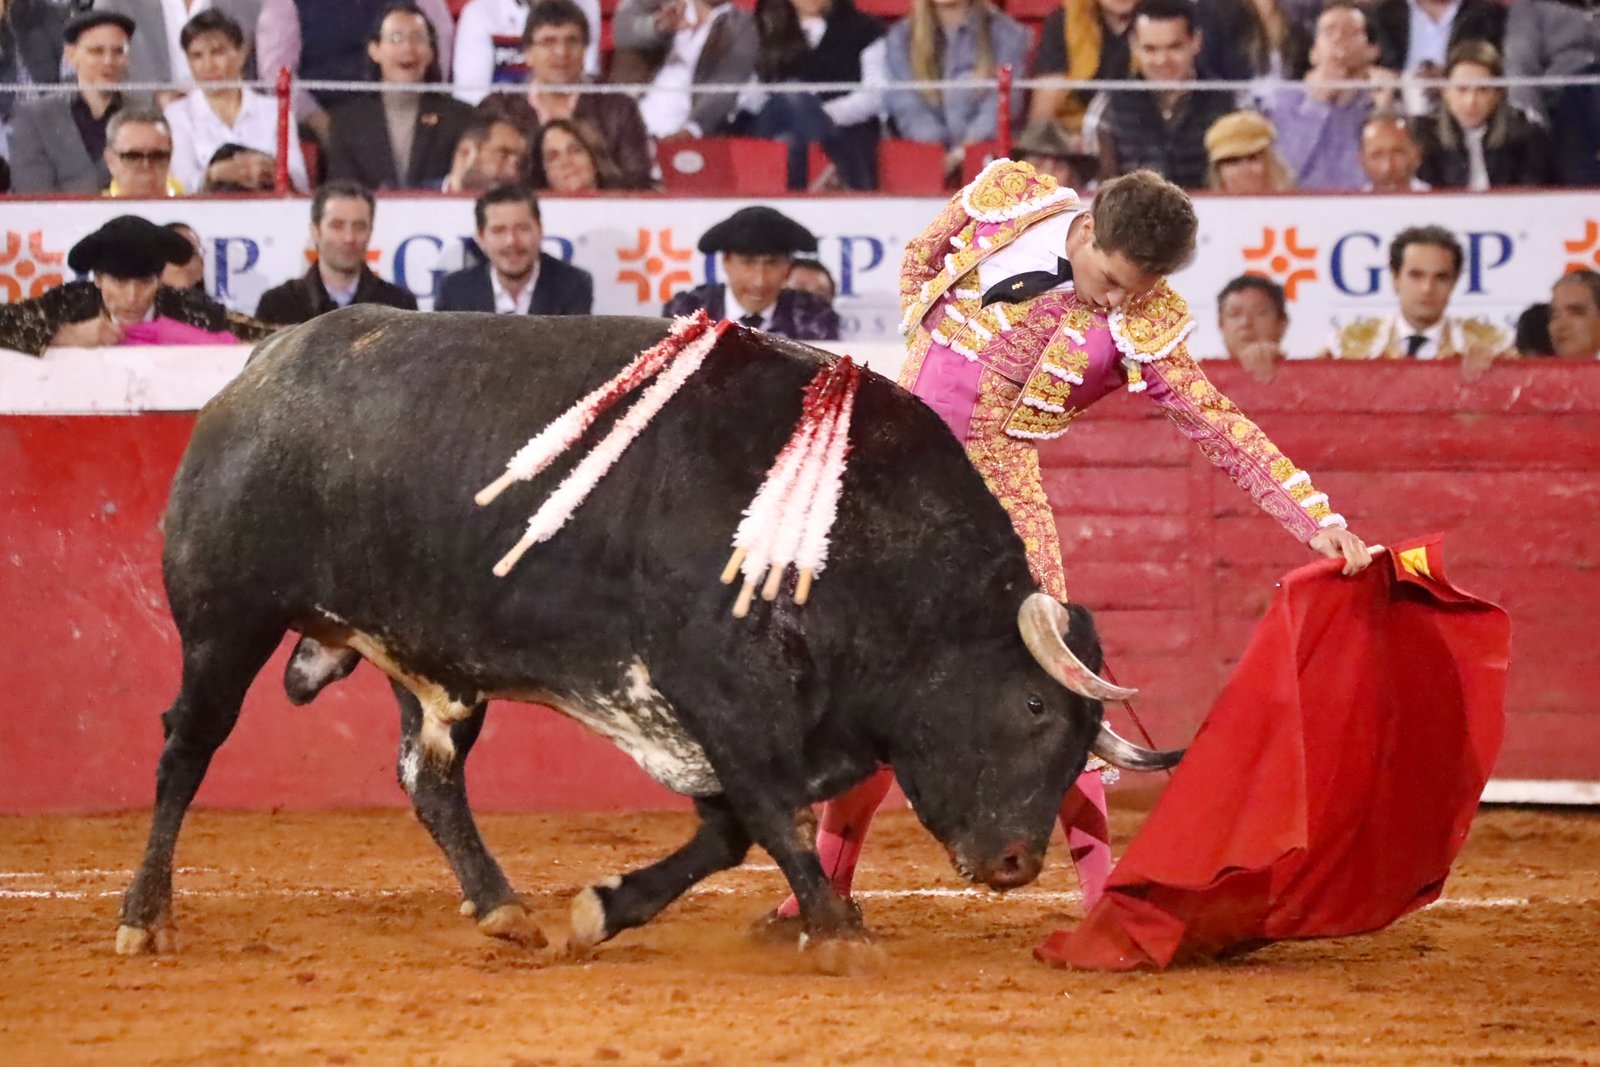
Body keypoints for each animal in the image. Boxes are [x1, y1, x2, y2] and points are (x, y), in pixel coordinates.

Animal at [115, 306, 1179, 959]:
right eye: (1033, 703)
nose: (1014, 866)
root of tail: (265, 361)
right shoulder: (723, 699)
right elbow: (772, 821)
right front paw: (838, 931)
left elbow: (730, 832)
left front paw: (606, 909)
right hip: (227, 620)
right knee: (184, 748)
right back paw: (144, 916)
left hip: (428, 662)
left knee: (430, 776)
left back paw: (503, 908)